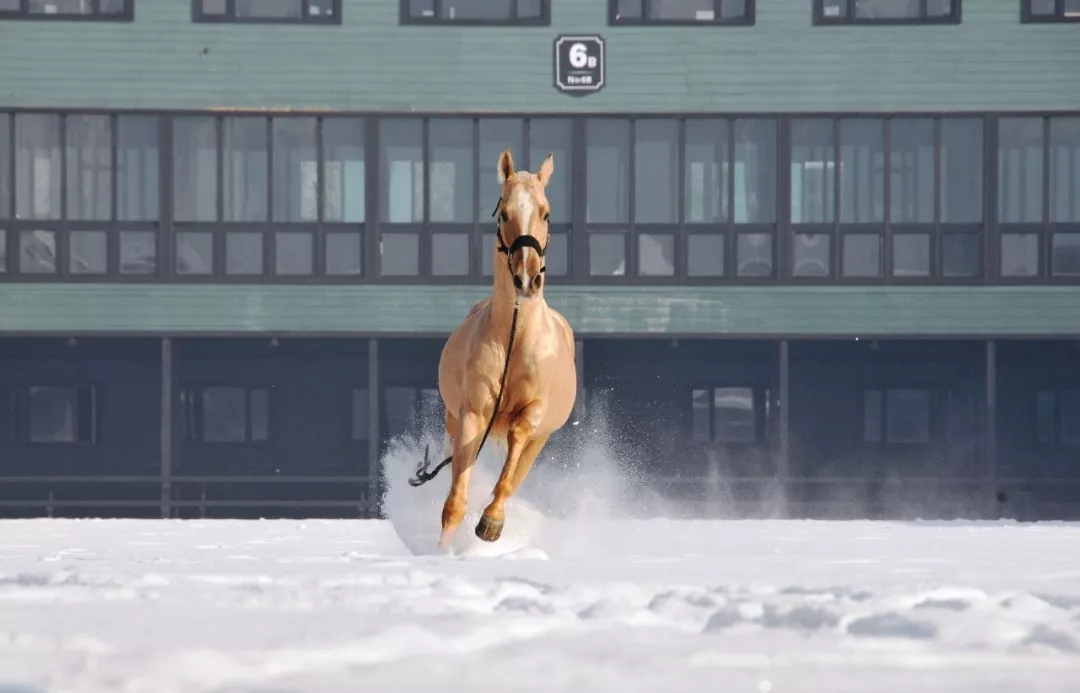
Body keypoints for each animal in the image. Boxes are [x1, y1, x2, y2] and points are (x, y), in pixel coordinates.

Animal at [406, 148, 578, 548]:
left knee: (516, 474)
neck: (515, 340)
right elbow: (454, 503)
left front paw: (491, 521)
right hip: (454, 420)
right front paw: (443, 552)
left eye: (546, 213)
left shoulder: (532, 417)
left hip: (542, 439)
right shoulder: (472, 414)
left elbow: (509, 468)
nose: (527, 279)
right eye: (504, 214)